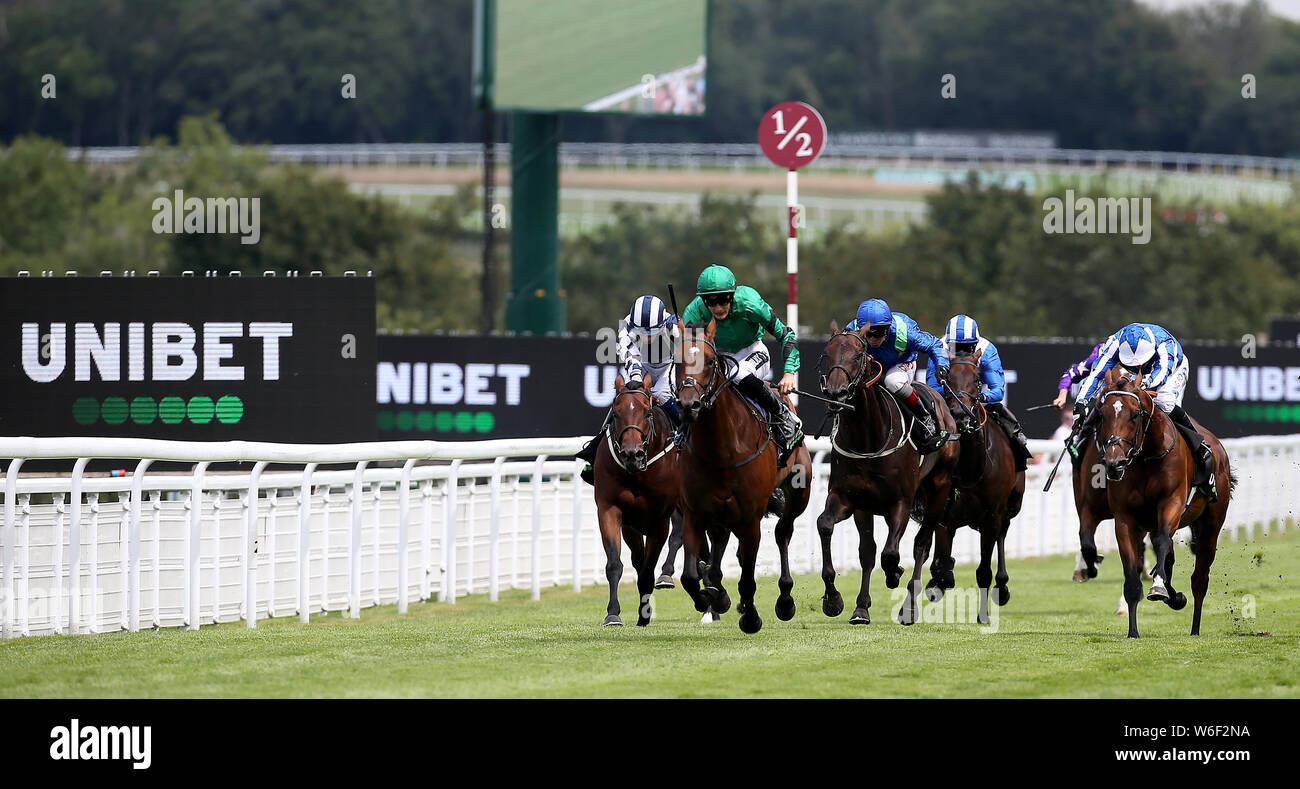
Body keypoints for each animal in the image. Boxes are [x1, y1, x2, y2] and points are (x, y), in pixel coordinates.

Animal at [595, 376, 686, 629]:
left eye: (647, 413)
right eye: (616, 414)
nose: (631, 454)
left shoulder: (660, 518)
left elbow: (647, 569)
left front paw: (644, 615)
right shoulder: (611, 510)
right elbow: (616, 563)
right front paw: (613, 614)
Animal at [676, 321, 806, 636]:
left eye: (710, 362)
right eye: (677, 361)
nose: (688, 406)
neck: (722, 449)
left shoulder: (750, 517)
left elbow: (747, 577)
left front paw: (751, 618)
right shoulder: (694, 512)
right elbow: (689, 575)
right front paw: (710, 599)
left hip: (799, 491)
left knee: (783, 532)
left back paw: (785, 600)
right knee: (721, 544)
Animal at [816, 326, 961, 623]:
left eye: (858, 355)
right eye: (827, 353)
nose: (836, 394)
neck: (868, 438)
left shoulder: (901, 502)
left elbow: (891, 553)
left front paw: (894, 574)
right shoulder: (851, 499)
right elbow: (838, 533)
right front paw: (841, 601)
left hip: (938, 490)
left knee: (921, 545)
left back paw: (909, 607)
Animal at [935, 350, 1024, 623]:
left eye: (976, 379)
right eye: (946, 376)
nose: (960, 414)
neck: (972, 468)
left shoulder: (991, 517)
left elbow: (984, 570)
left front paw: (983, 615)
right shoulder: (946, 518)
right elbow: (942, 565)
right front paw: (938, 580)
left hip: (1010, 508)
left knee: (1003, 535)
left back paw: (1002, 587)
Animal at [1092, 366, 1232, 639]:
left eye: (1135, 414)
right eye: (1102, 414)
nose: (1114, 463)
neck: (1147, 457)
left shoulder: (1172, 504)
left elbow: (1162, 542)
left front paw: (1158, 588)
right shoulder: (1125, 520)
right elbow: (1132, 576)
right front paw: (1133, 631)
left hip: (1211, 525)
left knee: (1200, 577)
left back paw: (1195, 628)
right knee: (1168, 559)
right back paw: (1175, 597)